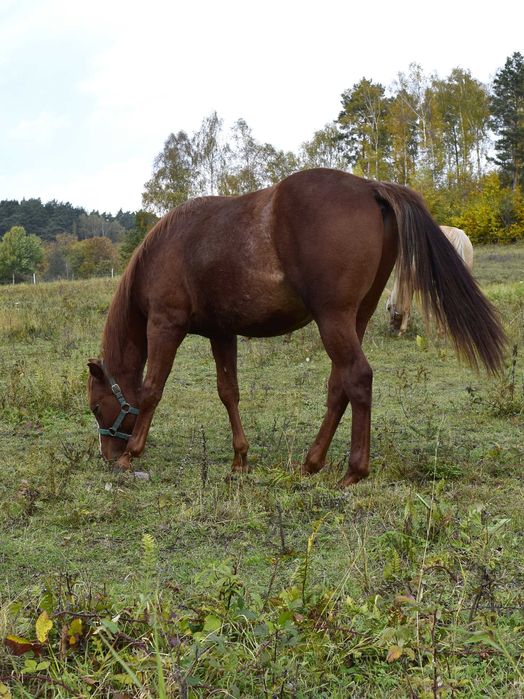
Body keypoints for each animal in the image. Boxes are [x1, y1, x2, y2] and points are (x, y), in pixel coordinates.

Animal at [87, 168, 506, 488]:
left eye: (94, 406)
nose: (107, 455)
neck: (166, 250)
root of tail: (369, 186)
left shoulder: (165, 325)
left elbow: (151, 390)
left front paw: (131, 455)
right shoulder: (222, 333)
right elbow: (229, 393)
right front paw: (240, 459)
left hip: (332, 318)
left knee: (357, 378)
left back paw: (353, 471)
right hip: (356, 318)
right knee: (339, 386)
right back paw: (311, 462)